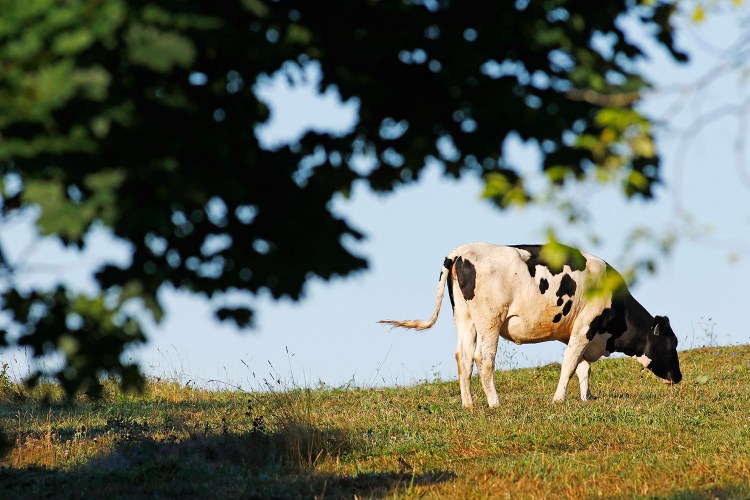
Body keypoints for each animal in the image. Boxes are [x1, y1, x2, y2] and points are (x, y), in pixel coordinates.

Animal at [378, 243, 684, 410]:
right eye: (672, 344)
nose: (679, 377)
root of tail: (461, 251)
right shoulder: (586, 325)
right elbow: (570, 365)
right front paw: (559, 399)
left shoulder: (577, 331)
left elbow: (583, 367)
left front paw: (587, 398)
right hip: (490, 319)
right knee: (483, 359)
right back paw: (494, 403)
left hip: (464, 318)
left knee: (463, 358)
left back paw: (468, 404)